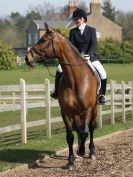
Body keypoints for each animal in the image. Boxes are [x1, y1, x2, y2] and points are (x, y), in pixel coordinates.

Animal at [25, 22, 97, 171]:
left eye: (42, 40)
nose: (27, 58)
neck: (75, 79)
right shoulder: (66, 112)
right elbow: (70, 136)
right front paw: (71, 161)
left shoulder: (87, 109)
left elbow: (85, 132)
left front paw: (82, 151)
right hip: (77, 113)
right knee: (80, 129)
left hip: (94, 109)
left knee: (91, 128)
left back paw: (91, 152)